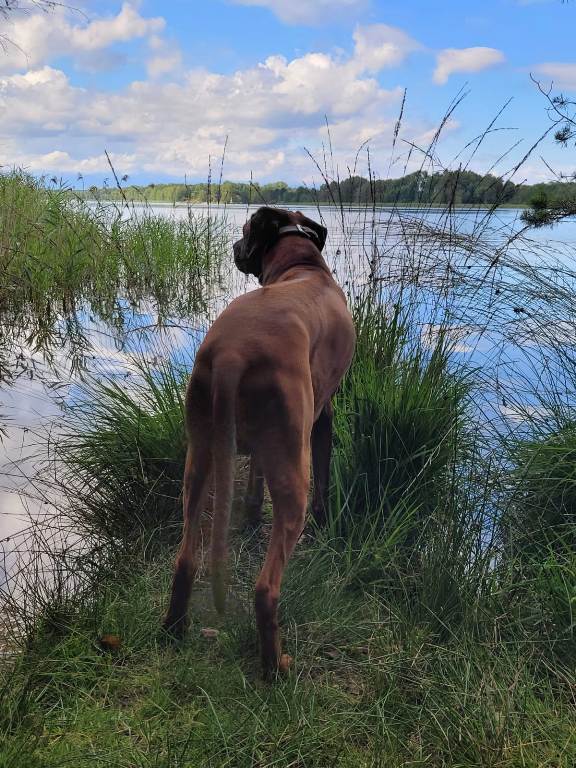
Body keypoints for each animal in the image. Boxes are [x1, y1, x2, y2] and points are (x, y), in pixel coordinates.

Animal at [164, 206, 356, 677]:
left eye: (245, 231)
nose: (235, 246)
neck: (303, 266)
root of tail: (233, 353)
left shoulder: (253, 448)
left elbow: (253, 482)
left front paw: (250, 516)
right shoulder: (322, 417)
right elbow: (324, 478)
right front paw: (326, 524)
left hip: (200, 458)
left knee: (185, 558)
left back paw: (174, 628)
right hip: (293, 473)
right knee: (266, 589)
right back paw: (275, 667)